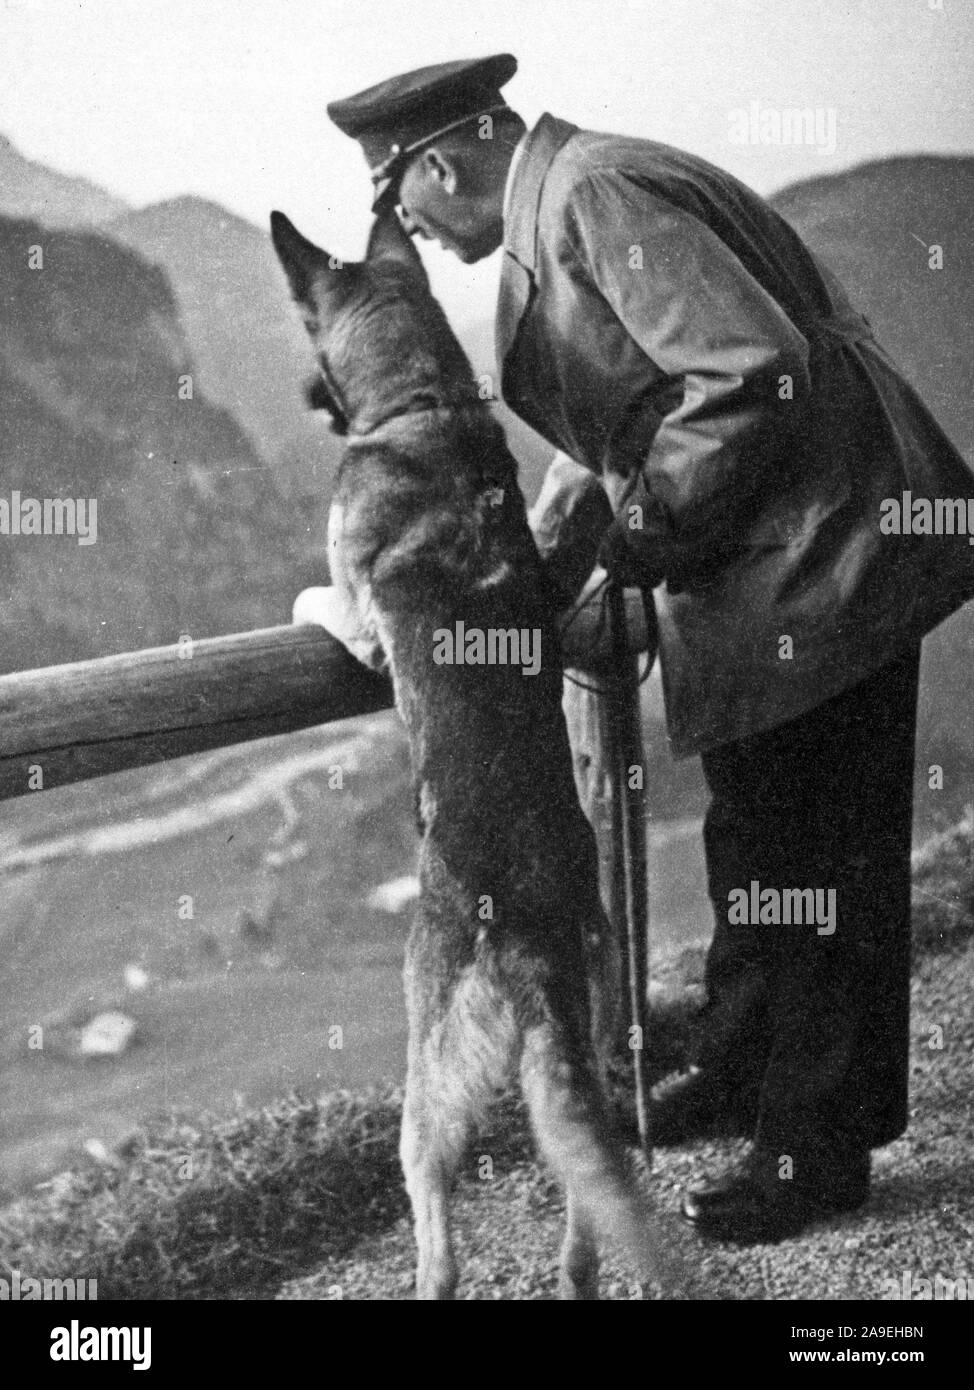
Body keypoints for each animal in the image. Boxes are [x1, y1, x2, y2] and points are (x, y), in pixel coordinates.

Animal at [269, 208, 686, 1301]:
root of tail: (529, 948)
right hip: (586, 1042)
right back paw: (582, 1268)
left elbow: (319, 600)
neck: (424, 407)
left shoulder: (357, 617)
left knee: (435, 1226)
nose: (307, 400)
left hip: (427, 1081)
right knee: (589, 1195)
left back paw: (430, 1271)